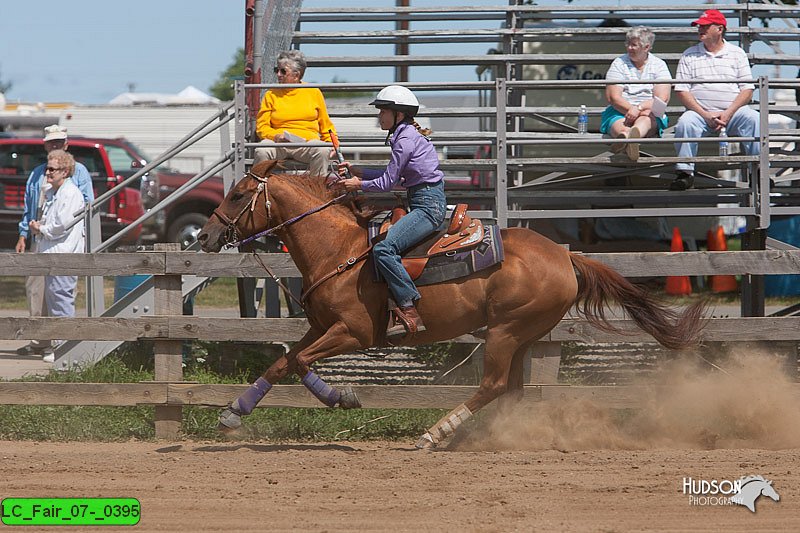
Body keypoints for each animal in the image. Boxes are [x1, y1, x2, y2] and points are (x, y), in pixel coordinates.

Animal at [200, 160, 708, 446]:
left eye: (239, 194)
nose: (204, 236)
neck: (340, 250)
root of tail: (566, 254)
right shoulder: (321, 327)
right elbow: (284, 362)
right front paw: (232, 413)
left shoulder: (354, 333)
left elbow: (301, 361)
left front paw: (342, 397)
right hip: (523, 336)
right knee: (510, 389)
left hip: (505, 331)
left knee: (492, 385)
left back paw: (436, 434)